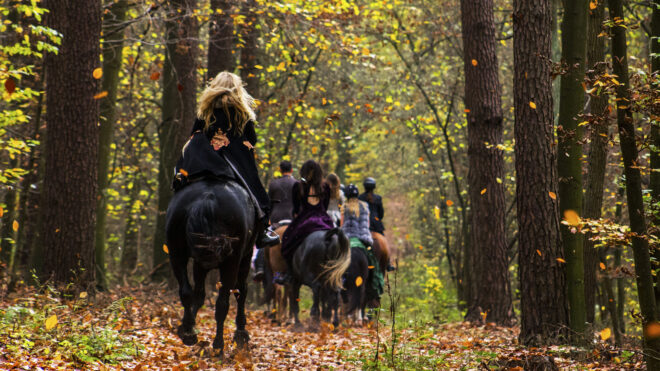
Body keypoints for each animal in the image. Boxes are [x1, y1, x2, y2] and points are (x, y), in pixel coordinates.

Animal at [165, 179, 258, 354]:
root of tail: (208, 198)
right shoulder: (243, 257)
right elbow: (239, 292)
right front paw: (240, 332)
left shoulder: (199, 262)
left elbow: (198, 295)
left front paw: (189, 326)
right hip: (233, 261)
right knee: (225, 301)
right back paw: (218, 344)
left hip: (176, 253)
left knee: (186, 292)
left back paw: (188, 332)